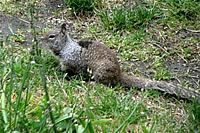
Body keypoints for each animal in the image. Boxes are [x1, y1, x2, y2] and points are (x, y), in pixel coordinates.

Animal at [42, 23, 200, 100]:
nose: (40, 39)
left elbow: (68, 68)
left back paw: (92, 84)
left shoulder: (71, 61)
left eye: (51, 36)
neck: (67, 46)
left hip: (100, 73)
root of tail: (119, 75)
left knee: (104, 84)